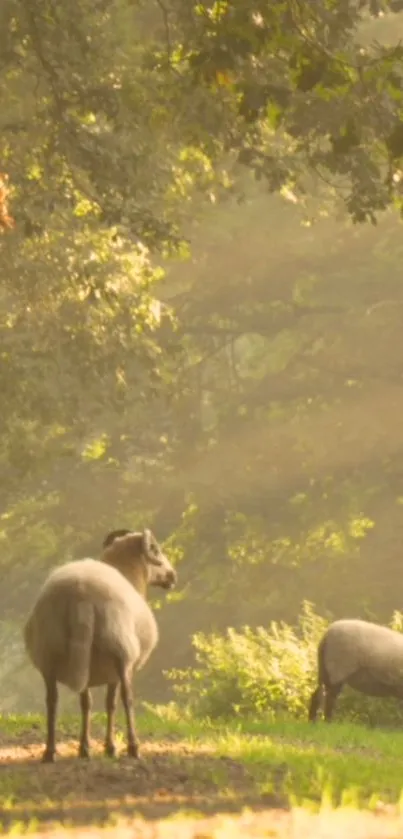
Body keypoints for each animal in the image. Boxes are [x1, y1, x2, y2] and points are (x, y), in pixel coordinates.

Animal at [24, 532, 176, 760]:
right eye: (155, 550)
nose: (172, 576)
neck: (129, 574)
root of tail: (82, 598)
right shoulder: (115, 671)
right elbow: (111, 704)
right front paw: (110, 746)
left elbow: (87, 703)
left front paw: (85, 746)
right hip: (120, 650)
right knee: (127, 698)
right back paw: (133, 747)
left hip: (49, 653)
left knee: (52, 701)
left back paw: (51, 751)